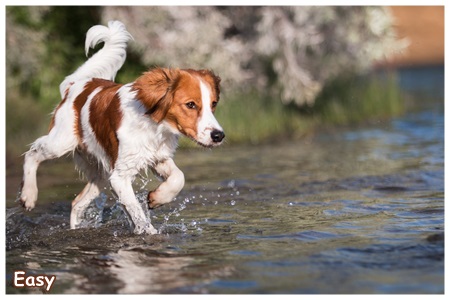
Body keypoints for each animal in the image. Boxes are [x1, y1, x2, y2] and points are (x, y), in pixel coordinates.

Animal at [17, 21, 225, 234]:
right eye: (191, 104)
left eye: (214, 104)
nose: (219, 136)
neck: (154, 125)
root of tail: (78, 84)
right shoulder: (120, 176)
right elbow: (138, 213)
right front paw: (149, 232)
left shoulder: (157, 157)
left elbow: (179, 178)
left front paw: (156, 198)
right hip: (60, 142)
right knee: (32, 154)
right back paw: (28, 196)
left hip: (101, 172)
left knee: (77, 203)